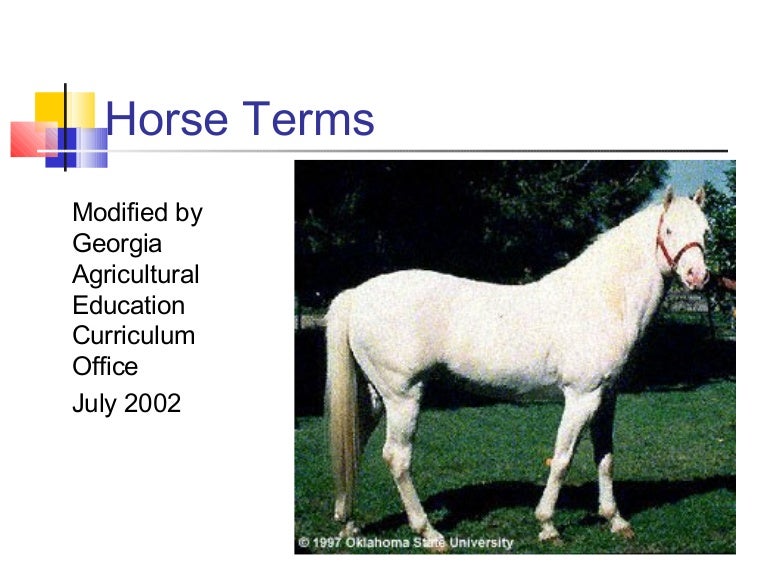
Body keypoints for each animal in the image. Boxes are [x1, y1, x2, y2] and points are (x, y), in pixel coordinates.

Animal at [325, 187, 709, 549]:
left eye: (705, 231)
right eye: (670, 230)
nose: (697, 276)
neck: (602, 299)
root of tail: (357, 295)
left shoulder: (606, 398)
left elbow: (605, 457)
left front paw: (615, 520)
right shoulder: (581, 397)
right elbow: (563, 458)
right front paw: (548, 525)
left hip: (376, 397)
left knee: (353, 447)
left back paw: (349, 523)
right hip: (403, 397)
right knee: (397, 458)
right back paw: (429, 533)